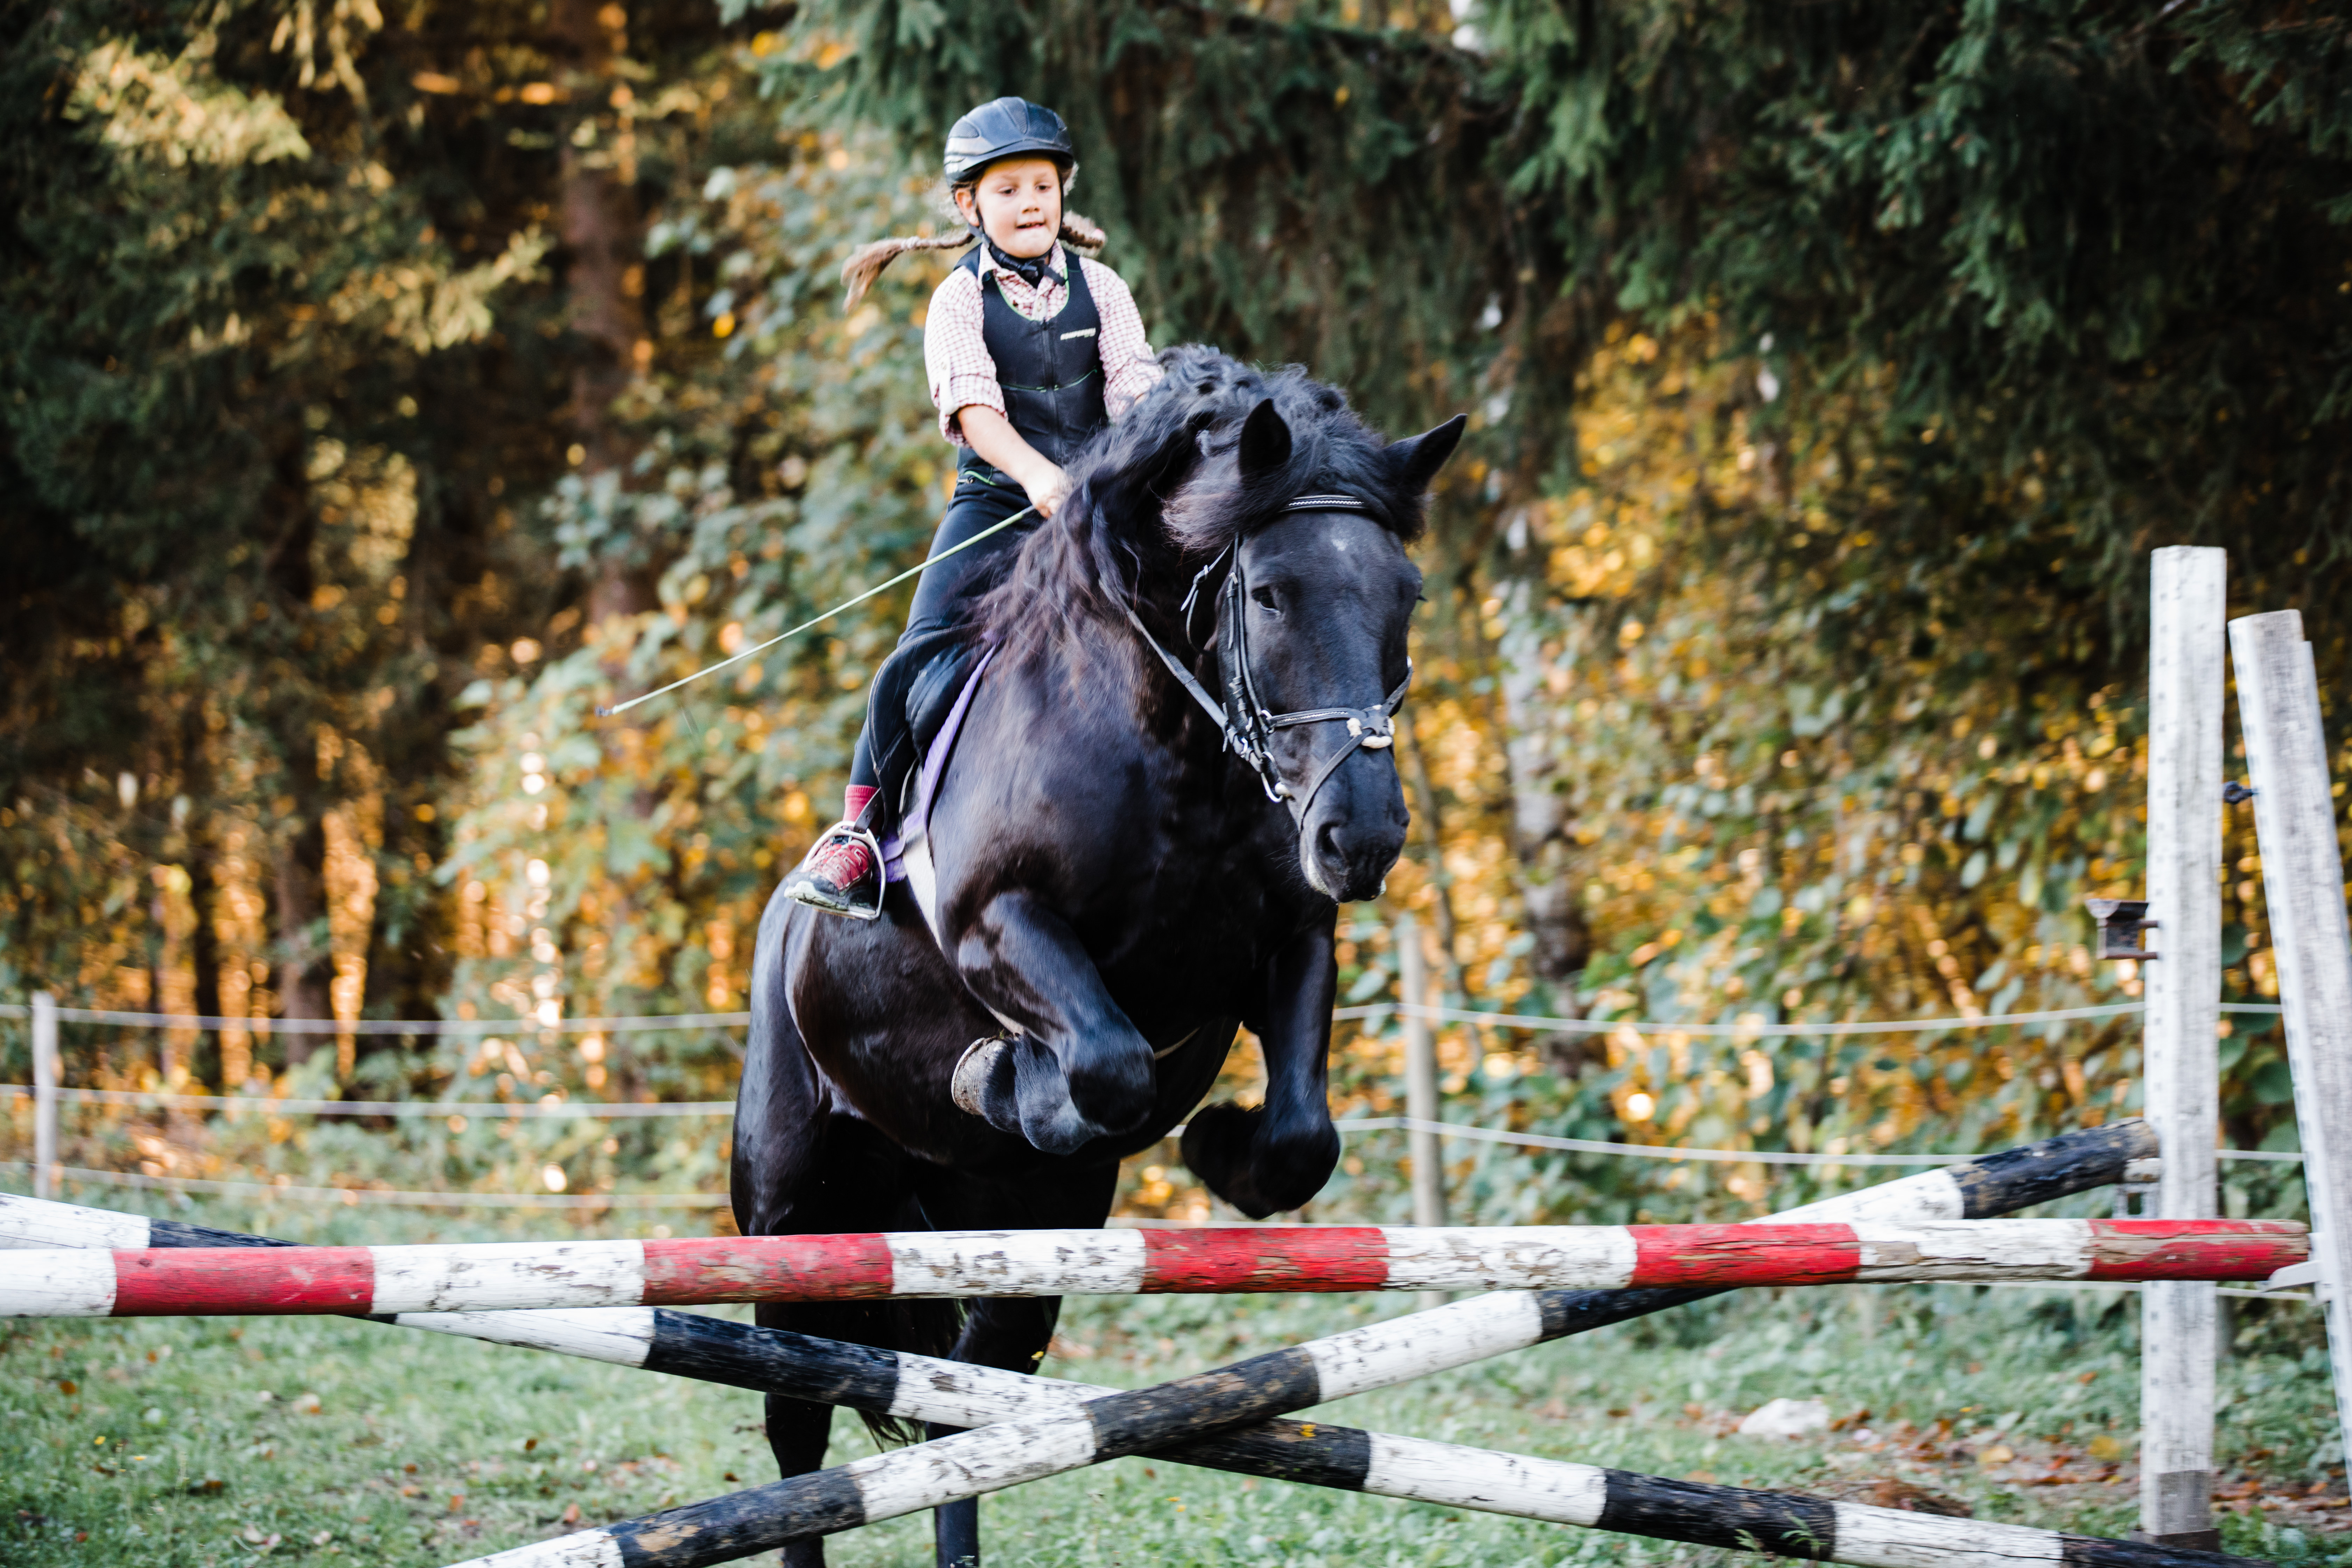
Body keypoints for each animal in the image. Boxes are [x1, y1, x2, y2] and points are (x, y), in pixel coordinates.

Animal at [724, 345, 1458, 1568]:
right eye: (1269, 593)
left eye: (1405, 597)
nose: (1361, 837)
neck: (1181, 749)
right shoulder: (997, 921)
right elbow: (1106, 1064)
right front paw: (1008, 1077)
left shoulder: (1292, 940)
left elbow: (1298, 1135)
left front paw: (1217, 1144)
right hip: (794, 1221)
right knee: (798, 1427)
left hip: (1015, 1241)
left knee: (967, 1402)